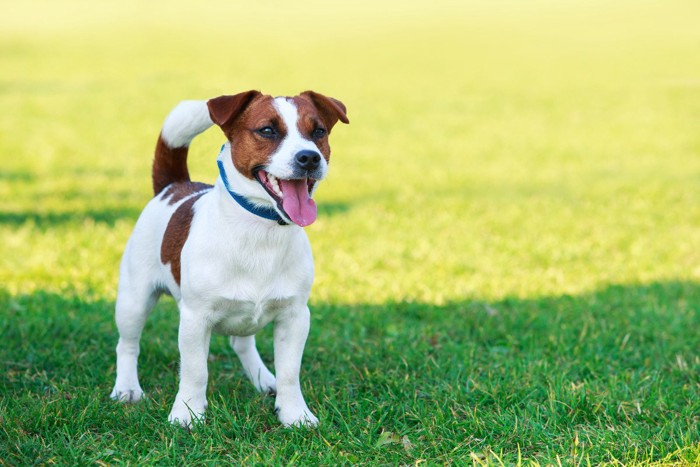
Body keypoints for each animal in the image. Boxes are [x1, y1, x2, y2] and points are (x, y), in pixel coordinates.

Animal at [109, 90, 348, 428]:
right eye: (267, 130)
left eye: (318, 132)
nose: (309, 157)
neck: (260, 231)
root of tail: (174, 186)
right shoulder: (195, 318)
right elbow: (195, 371)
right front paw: (187, 413)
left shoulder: (295, 316)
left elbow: (290, 373)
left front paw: (294, 414)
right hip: (134, 299)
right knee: (127, 344)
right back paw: (127, 388)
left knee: (241, 343)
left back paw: (264, 379)